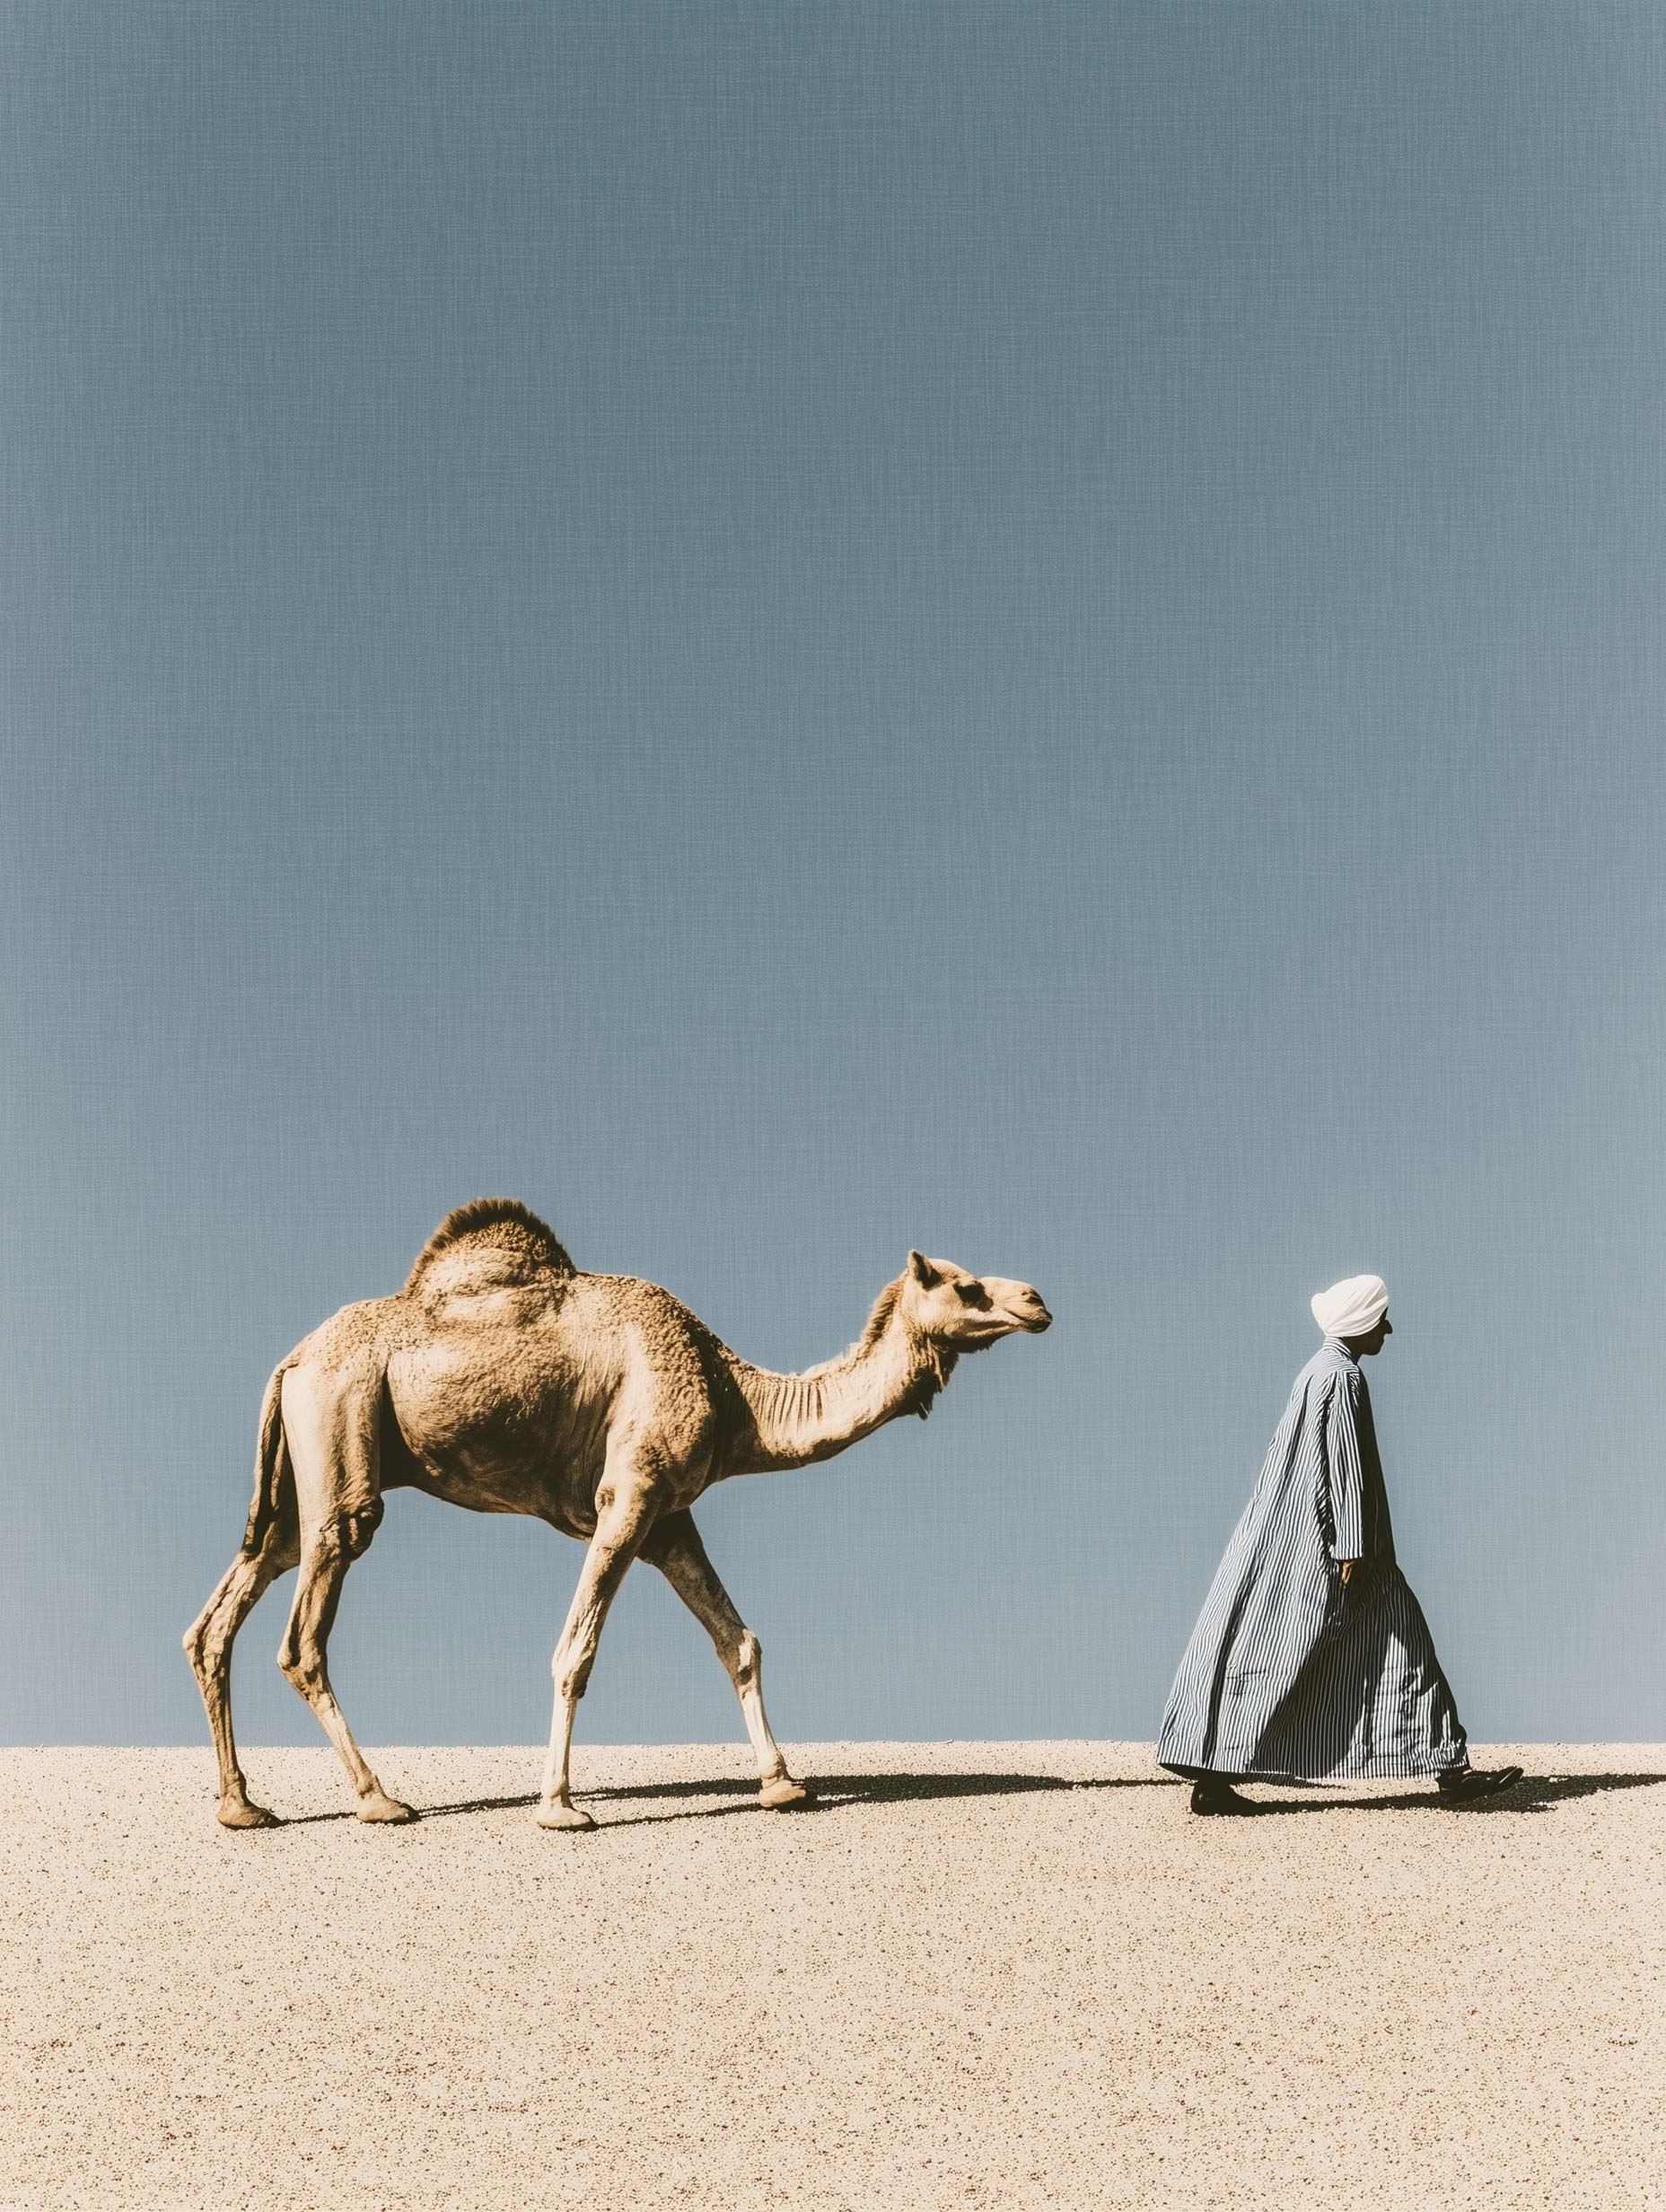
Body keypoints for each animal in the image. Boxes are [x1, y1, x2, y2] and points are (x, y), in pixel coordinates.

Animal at [184, 1199, 1051, 1830]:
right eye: (962, 1285)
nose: (1037, 1299)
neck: (733, 1394)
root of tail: (291, 1360)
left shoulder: (670, 1517)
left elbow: (739, 1641)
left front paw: (782, 1785)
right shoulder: (628, 1495)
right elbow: (577, 1650)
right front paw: (560, 1807)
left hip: (296, 1484)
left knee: (222, 1613)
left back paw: (242, 1806)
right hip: (343, 1436)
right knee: (306, 1633)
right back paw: (379, 1800)